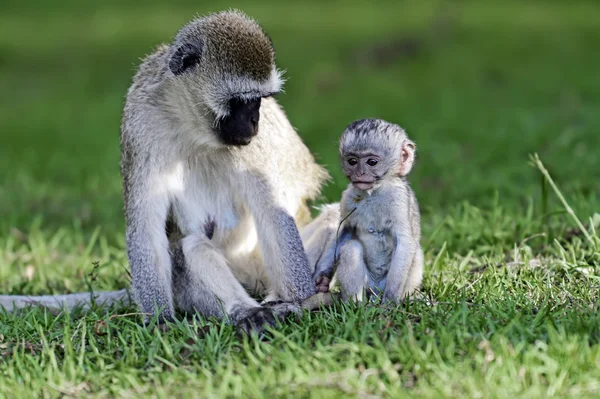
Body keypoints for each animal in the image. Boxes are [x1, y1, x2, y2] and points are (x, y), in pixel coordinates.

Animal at [314, 119, 422, 304]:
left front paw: (390, 302)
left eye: (372, 162)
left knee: (416, 254)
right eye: (352, 161)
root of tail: (375, 291)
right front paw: (322, 277)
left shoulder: (399, 200)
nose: (360, 173)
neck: (374, 193)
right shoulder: (348, 198)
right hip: (368, 286)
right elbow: (344, 232)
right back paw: (355, 304)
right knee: (351, 247)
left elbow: (405, 242)